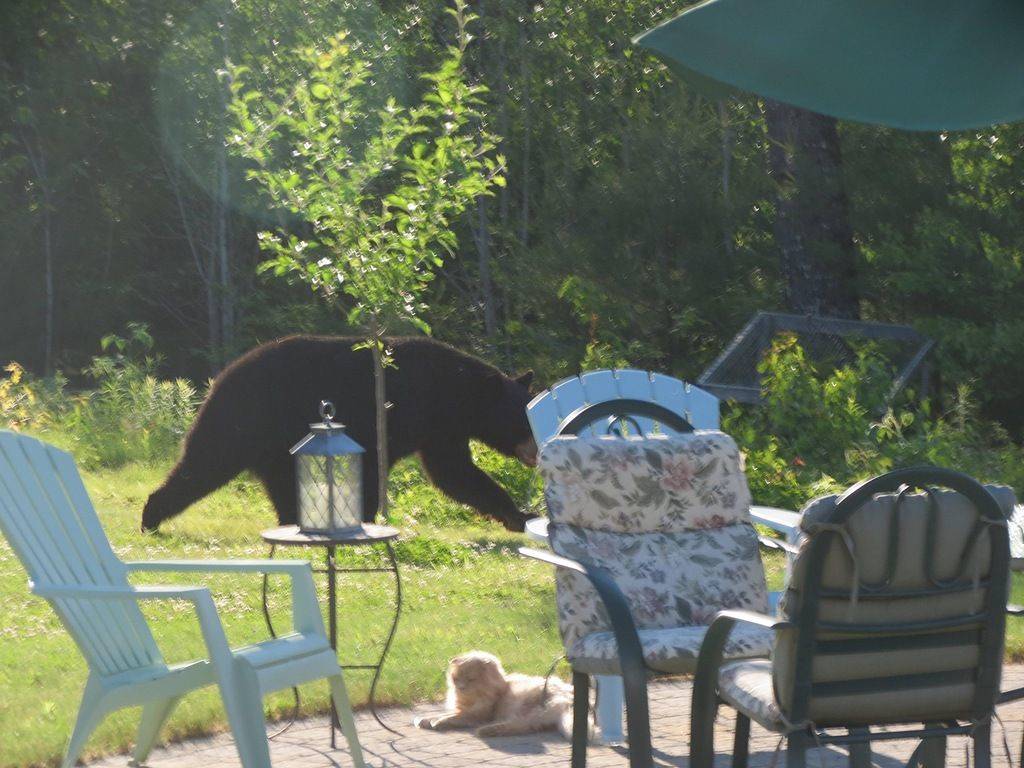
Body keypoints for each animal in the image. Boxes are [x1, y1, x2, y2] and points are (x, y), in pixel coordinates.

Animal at [146, 335, 544, 536]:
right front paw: (366, 519)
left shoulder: (440, 431)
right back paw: (151, 515)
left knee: (276, 480)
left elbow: (457, 473)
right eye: (524, 421)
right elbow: (378, 465)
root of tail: (219, 379)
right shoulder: (401, 414)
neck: (452, 393)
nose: (538, 452)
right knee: (205, 463)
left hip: (271, 443)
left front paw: (519, 515)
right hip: (242, 421)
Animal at [413, 651, 593, 741]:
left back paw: (483, 731)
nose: (460, 688)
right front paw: (424, 720)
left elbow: (450, 717)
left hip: (526, 712)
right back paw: (488, 731)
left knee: (517, 727)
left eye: (470, 679)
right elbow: (441, 714)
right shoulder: (461, 709)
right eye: (455, 679)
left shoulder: (476, 714)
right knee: (521, 728)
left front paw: (435, 723)